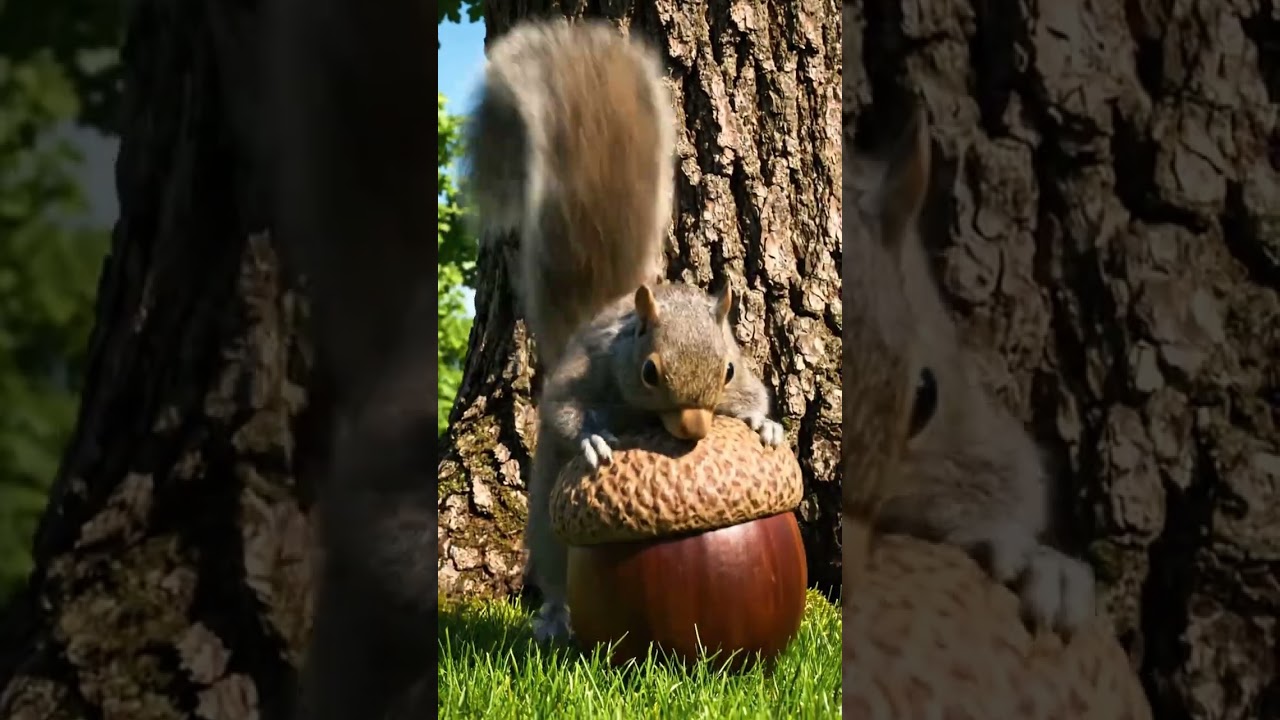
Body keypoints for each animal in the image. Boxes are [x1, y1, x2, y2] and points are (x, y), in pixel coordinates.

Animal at [464, 19, 786, 643]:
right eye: (649, 372)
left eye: (728, 367)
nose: (693, 431)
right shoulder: (588, 370)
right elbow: (563, 406)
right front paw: (593, 437)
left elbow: (756, 396)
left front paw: (764, 424)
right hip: (547, 506)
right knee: (553, 565)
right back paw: (555, 618)